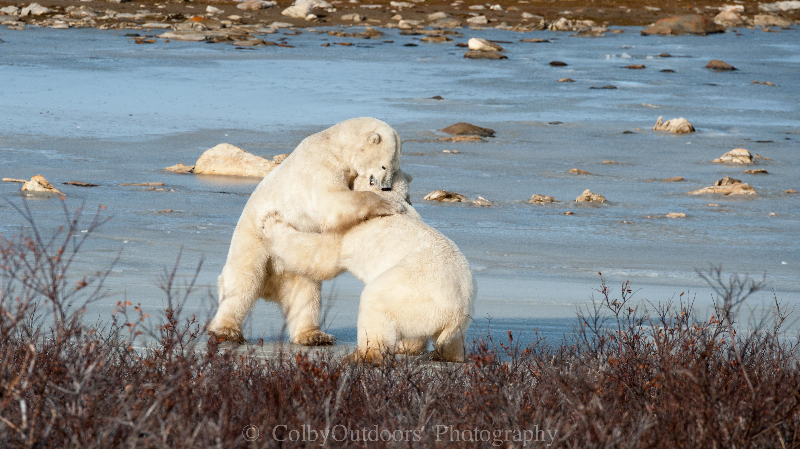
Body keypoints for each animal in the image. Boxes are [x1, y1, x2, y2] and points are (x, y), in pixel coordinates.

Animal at [208, 117, 405, 345]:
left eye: (394, 168)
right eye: (384, 165)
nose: (386, 188)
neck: (334, 144)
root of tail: (271, 285)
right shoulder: (320, 166)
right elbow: (330, 200)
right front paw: (390, 205)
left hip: (294, 266)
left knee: (306, 293)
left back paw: (314, 335)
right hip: (253, 240)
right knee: (242, 282)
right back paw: (225, 330)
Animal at [265, 169, 475, 363]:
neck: (391, 199)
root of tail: (456, 314)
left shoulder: (350, 229)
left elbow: (319, 257)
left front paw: (271, 220)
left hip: (409, 294)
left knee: (374, 307)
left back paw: (361, 355)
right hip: (447, 317)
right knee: (449, 340)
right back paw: (435, 353)